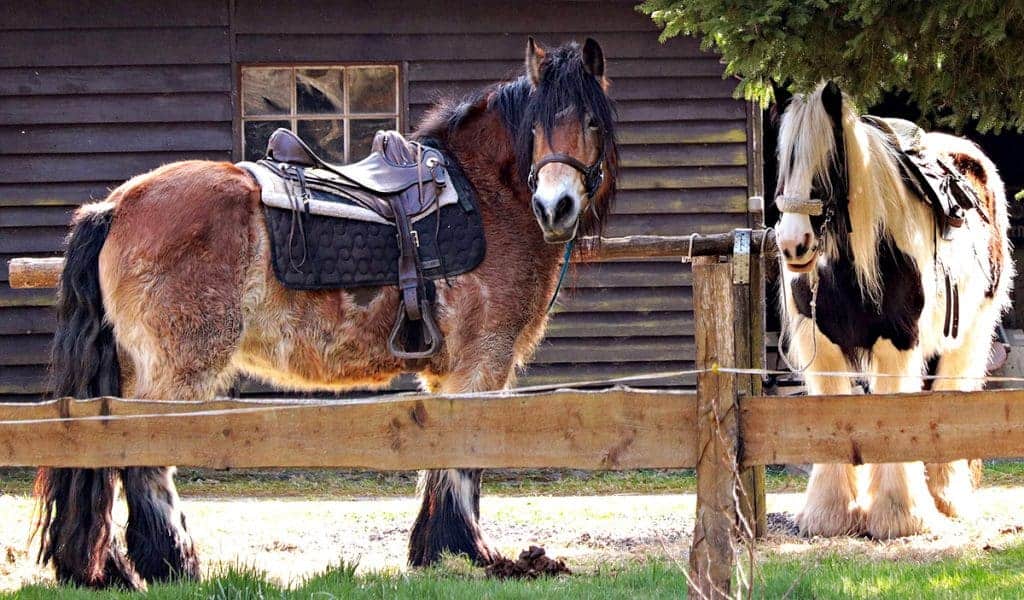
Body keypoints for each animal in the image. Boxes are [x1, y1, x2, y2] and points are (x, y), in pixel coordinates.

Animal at [33, 37, 618, 589]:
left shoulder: (448, 373)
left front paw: (434, 552)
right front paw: (469, 552)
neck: (486, 194)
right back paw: (173, 564)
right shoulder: (481, 363)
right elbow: (464, 457)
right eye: (538, 126)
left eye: (591, 120)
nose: (556, 207)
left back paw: (108, 568)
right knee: (143, 458)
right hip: (177, 371)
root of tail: (116, 207)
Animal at [774, 82, 1011, 540]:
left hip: (968, 338)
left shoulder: (897, 345)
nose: (793, 244)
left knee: (948, 395)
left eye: (827, 162)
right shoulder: (824, 350)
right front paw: (829, 514)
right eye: (784, 162)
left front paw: (899, 515)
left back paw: (944, 498)